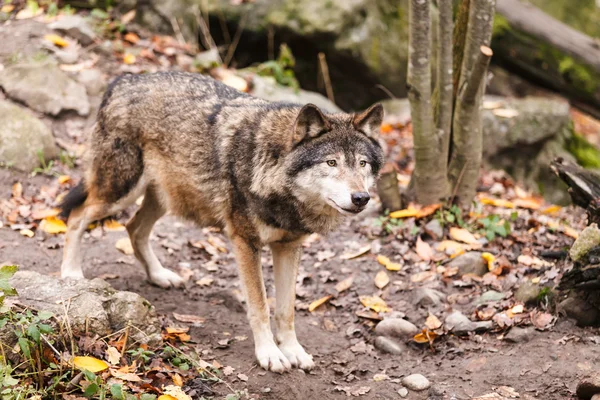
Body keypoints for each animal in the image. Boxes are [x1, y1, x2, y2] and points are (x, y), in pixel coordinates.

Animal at [59, 71, 384, 372]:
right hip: (121, 192)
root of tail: (124, 79)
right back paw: (71, 274)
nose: (361, 198)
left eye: (362, 164)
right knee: (76, 217)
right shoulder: (245, 242)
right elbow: (260, 305)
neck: (269, 168)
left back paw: (160, 275)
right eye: (331, 163)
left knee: (134, 228)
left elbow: (286, 309)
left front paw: (293, 351)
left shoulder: (289, 246)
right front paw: (269, 354)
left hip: (163, 199)